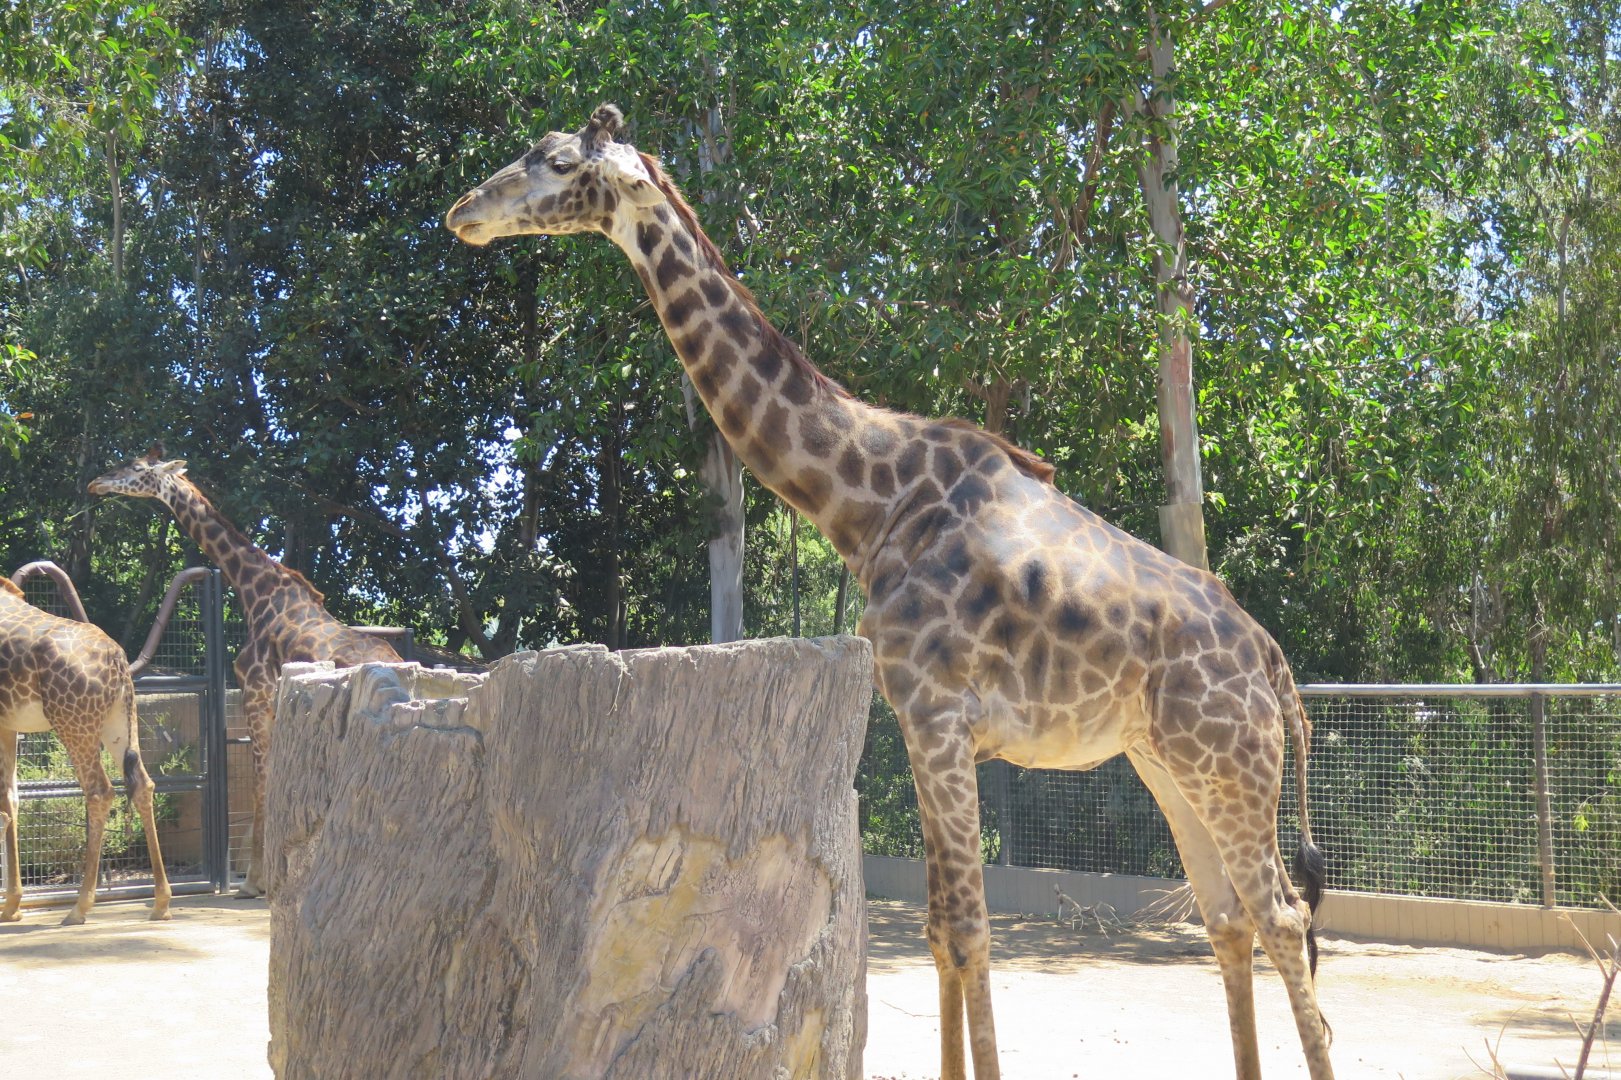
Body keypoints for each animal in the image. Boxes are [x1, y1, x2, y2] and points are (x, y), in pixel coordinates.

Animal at [0, 576, 172, 924]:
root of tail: (117, 660)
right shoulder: (8, 723)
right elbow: (10, 799)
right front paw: (12, 906)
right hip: (118, 721)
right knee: (143, 785)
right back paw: (161, 902)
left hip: (74, 723)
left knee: (99, 790)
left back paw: (79, 906)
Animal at [88, 448, 401, 898]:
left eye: (135, 467)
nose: (96, 483)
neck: (255, 591)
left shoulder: (254, 696)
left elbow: (261, 784)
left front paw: (255, 881)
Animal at [445, 105, 1333, 1080]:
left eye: (558, 162)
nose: (463, 211)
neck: (865, 503)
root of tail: (1272, 660)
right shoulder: (916, 721)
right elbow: (944, 930)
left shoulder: (939, 715)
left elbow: (973, 931)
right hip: (1167, 763)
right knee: (1228, 917)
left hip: (1228, 762)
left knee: (1283, 916)